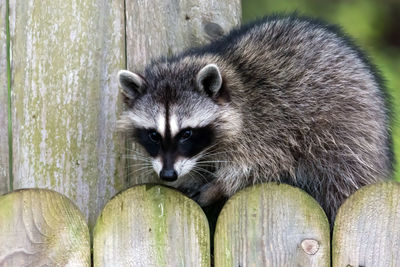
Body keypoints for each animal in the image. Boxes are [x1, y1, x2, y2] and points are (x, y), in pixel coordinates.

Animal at [117, 15, 392, 224]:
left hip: (346, 134)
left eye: (186, 133)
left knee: (339, 176)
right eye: (153, 135)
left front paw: (220, 185)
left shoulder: (271, 124)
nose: (168, 175)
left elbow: (263, 165)